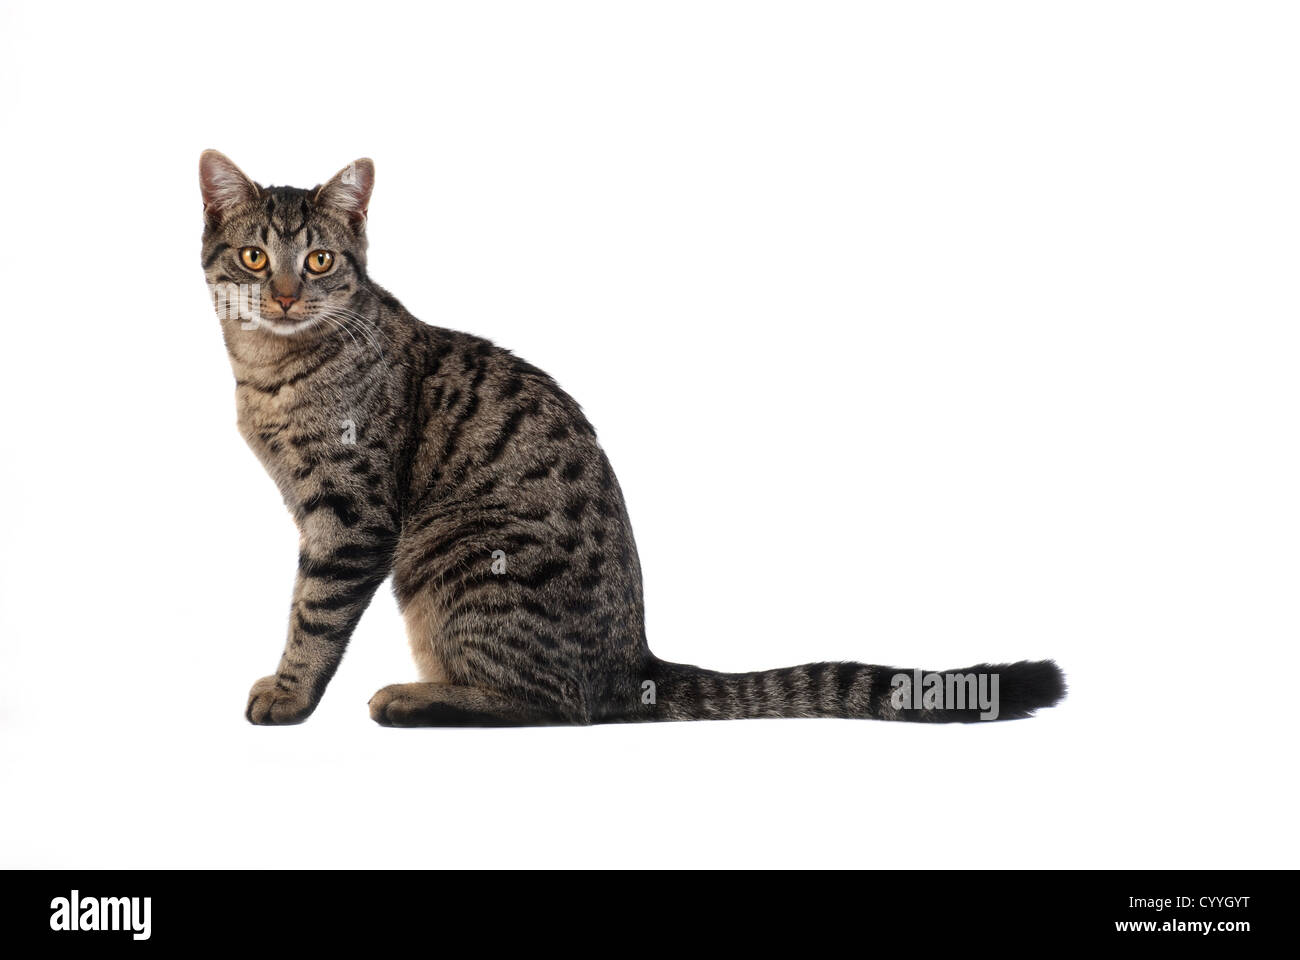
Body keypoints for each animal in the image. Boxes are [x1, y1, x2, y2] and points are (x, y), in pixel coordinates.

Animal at [197, 149, 1060, 723]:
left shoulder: (353, 516)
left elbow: (313, 613)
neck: (273, 369)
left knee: (555, 704)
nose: (282, 295)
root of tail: (635, 660)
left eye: (318, 260)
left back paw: (416, 697)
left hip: (459, 560)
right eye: (254, 257)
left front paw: (289, 692)